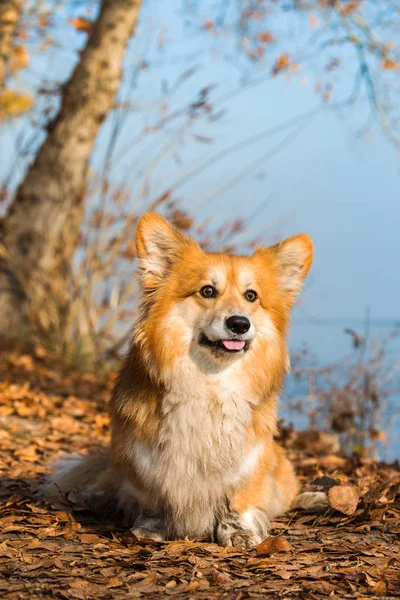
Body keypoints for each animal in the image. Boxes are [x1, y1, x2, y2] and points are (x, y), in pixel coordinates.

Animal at [42, 212, 326, 548]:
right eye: (207, 291)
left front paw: (238, 531)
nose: (240, 324)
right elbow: (152, 495)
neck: (209, 382)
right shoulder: (145, 459)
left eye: (251, 296)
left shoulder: (250, 458)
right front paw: (151, 526)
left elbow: (239, 499)